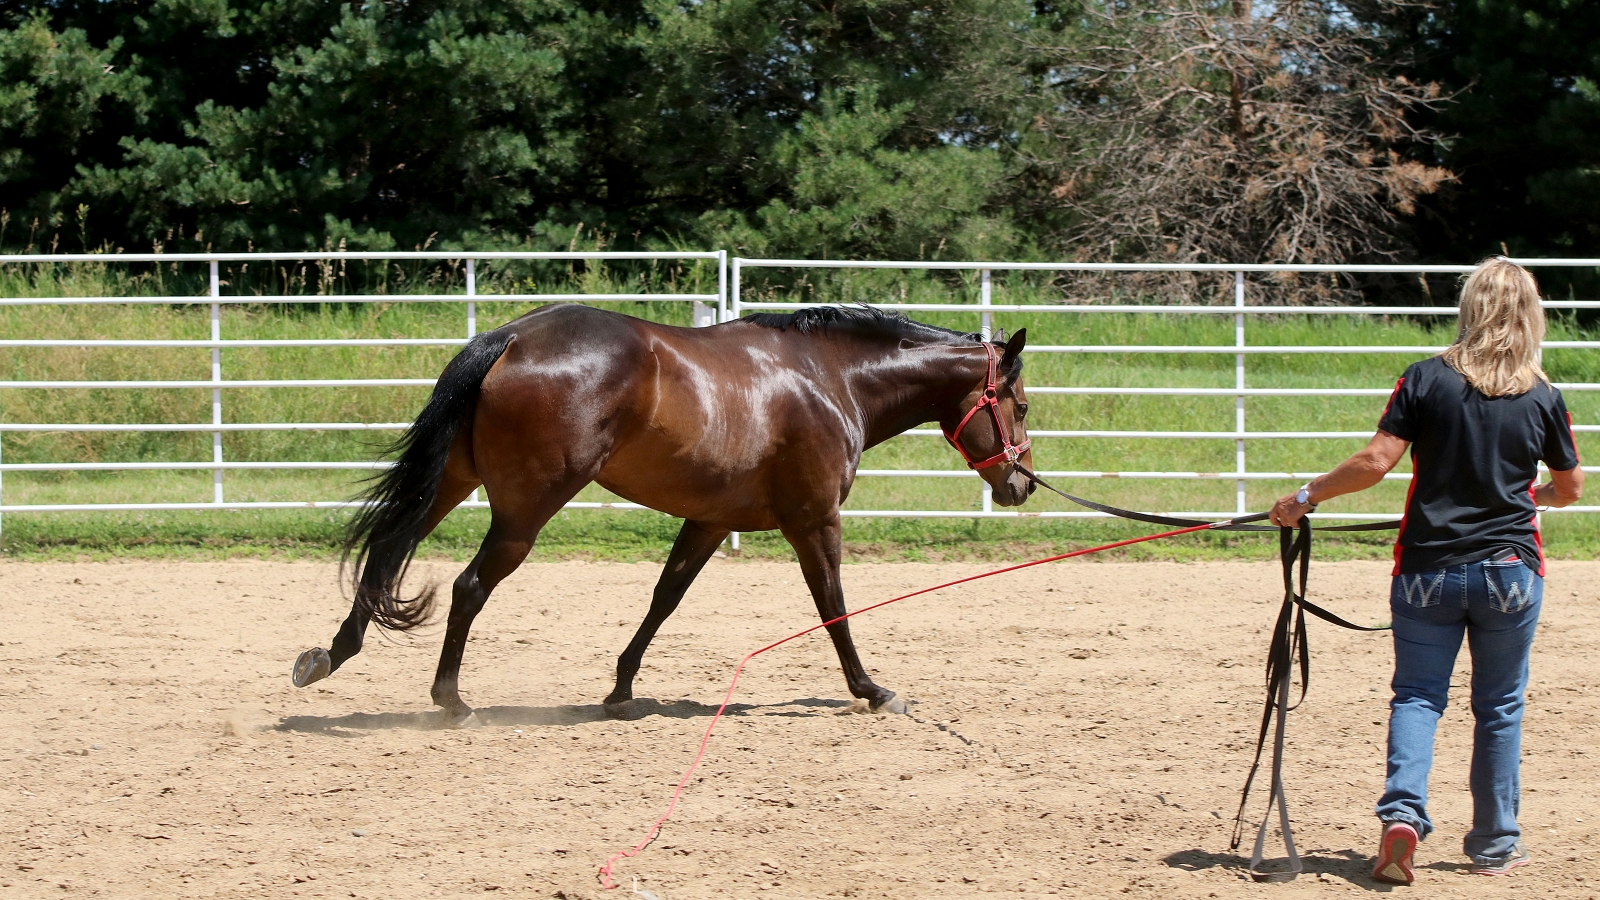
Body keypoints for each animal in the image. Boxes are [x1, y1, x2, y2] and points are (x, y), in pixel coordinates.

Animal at [291, 302, 1036, 720]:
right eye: (1022, 406)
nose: (1022, 485)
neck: (831, 380)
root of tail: (508, 340)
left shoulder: (710, 522)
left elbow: (664, 599)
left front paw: (621, 689)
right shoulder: (814, 520)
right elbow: (833, 606)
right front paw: (873, 690)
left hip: (449, 483)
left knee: (386, 552)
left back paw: (328, 657)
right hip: (525, 510)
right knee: (469, 586)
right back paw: (449, 699)